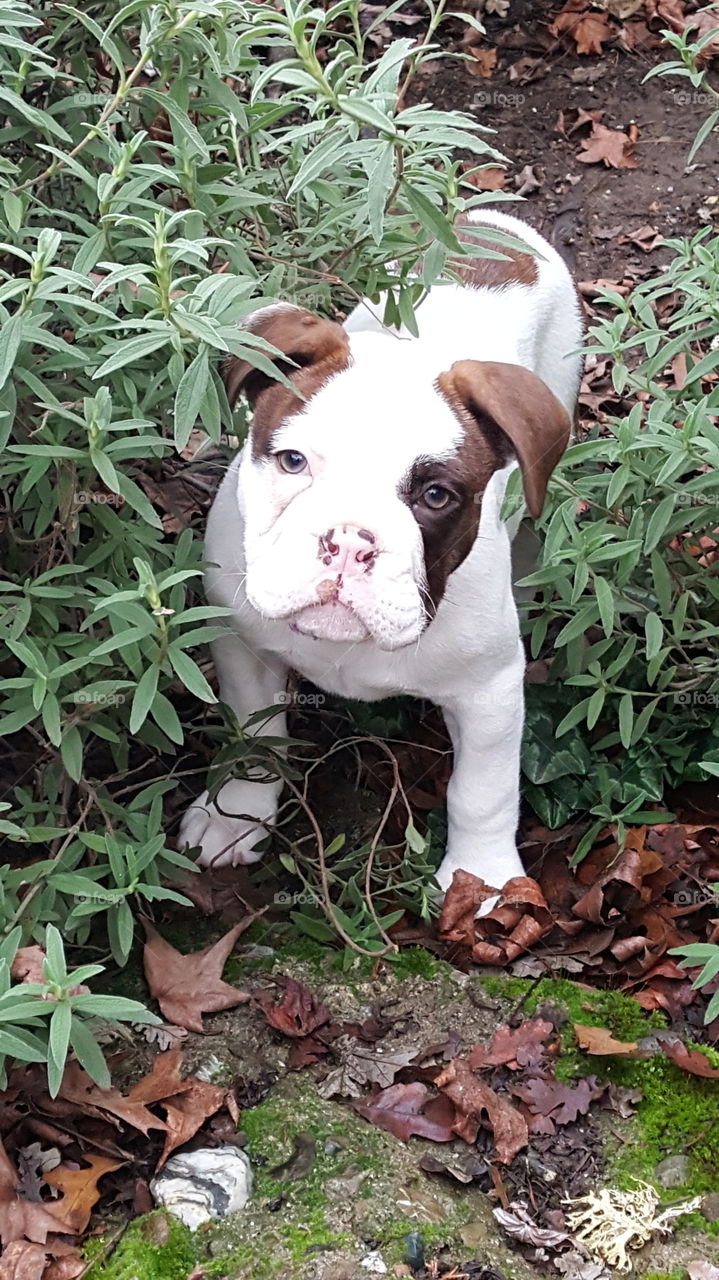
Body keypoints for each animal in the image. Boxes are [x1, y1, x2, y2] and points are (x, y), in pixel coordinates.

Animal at [179, 207, 583, 890]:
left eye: (437, 496)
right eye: (293, 461)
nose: (348, 541)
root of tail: (493, 218)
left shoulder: (491, 693)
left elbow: (483, 791)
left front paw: (482, 879)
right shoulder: (242, 647)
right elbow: (255, 736)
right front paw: (237, 811)